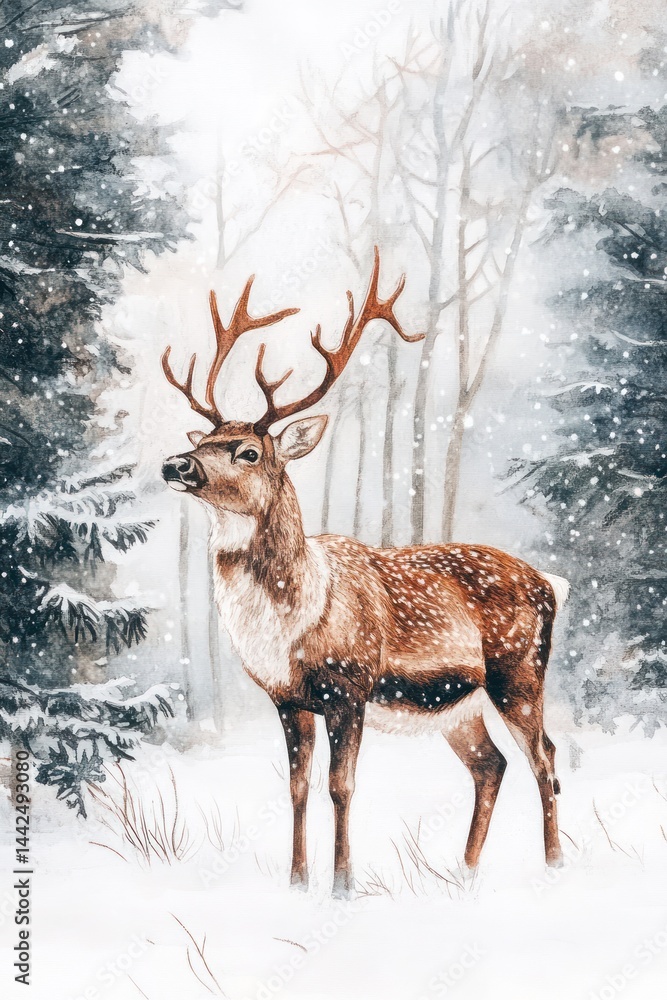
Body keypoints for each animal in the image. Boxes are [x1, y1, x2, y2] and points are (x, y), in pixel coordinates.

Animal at [161, 247, 568, 897]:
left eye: (248, 451)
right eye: (207, 440)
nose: (176, 463)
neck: (293, 621)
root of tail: (551, 584)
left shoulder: (348, 685)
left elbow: (341, 786)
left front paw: (343, 886)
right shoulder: (288, 699)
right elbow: (296, 788)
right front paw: (297, 882)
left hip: (519, 671)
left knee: (545, 758)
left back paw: (554, 866)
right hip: (458, 705)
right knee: (492, 764)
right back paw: (465, 872)